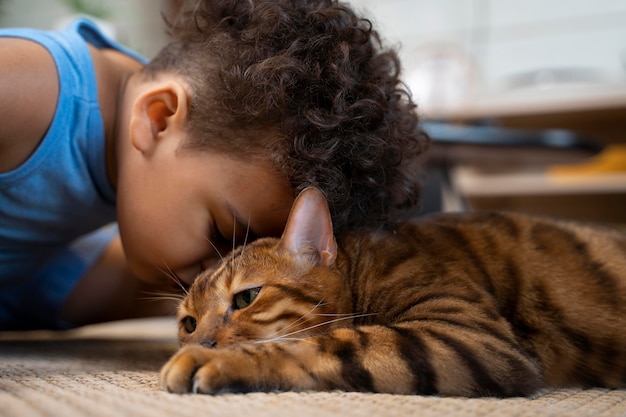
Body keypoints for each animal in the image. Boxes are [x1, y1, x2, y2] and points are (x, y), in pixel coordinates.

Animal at [160, 187, 624, 394]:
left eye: (245, 297)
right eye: (189, 323)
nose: (200, 341)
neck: (363, 264)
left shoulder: (470, 336)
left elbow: (326, 343)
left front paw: (212, 360)